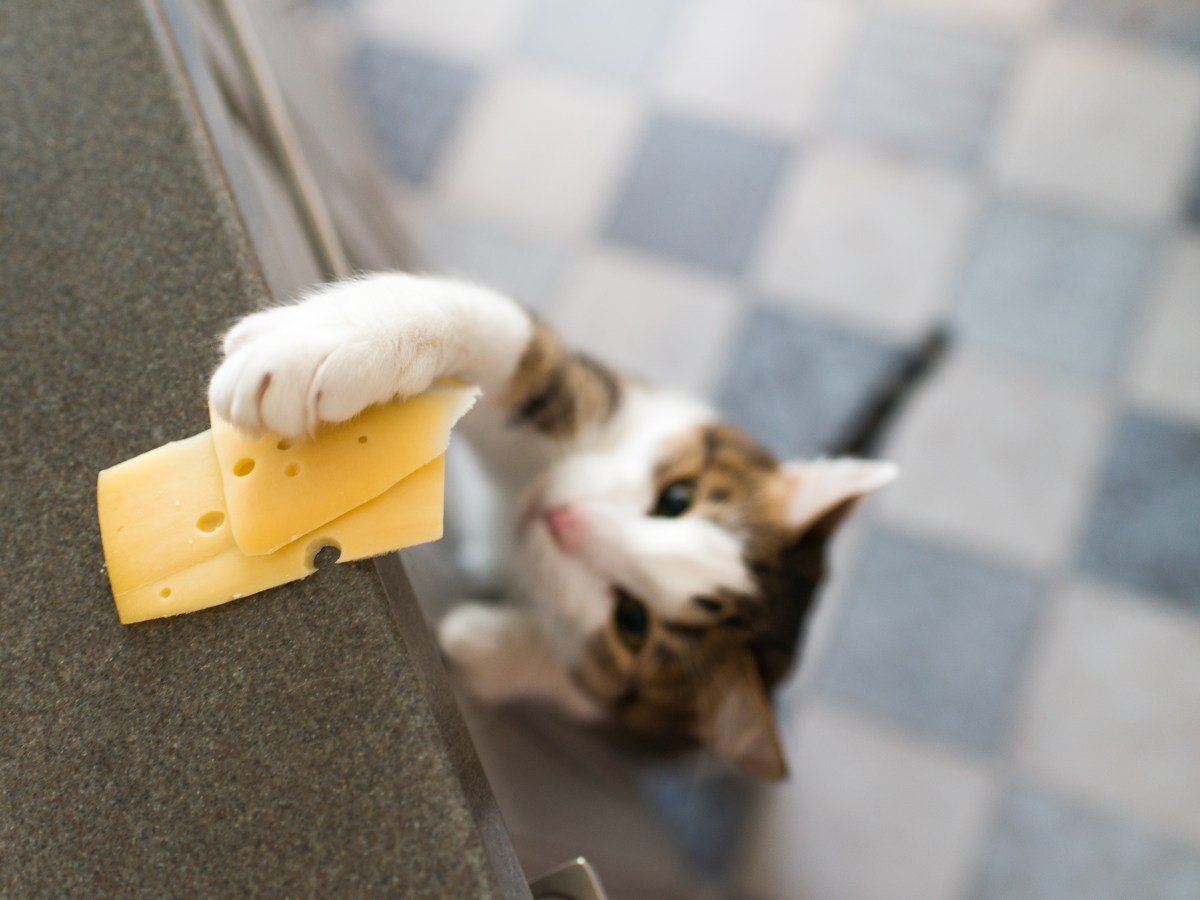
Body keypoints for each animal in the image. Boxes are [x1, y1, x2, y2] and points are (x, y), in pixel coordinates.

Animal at [211, 274, 897, 782]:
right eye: (676, 499)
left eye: (632, 621)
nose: (560, 519)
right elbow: (514, 345)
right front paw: (329, 340)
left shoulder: (646, 718)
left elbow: (583, 688)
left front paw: (490, 648)